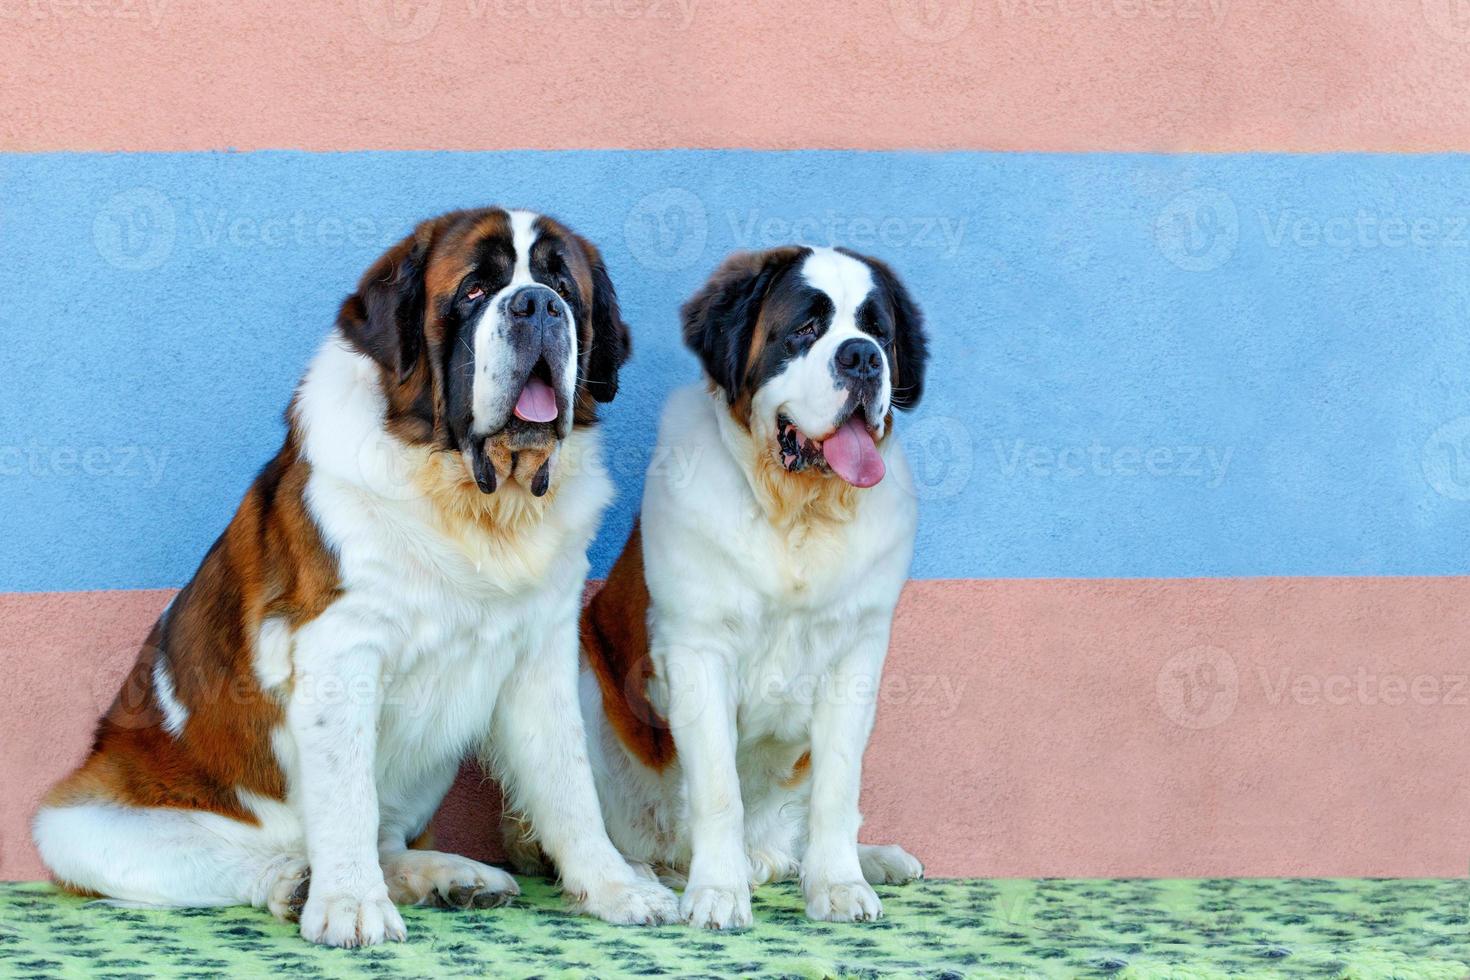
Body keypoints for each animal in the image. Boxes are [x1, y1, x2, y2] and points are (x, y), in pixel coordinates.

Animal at [34, 208, 676, 952]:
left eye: (563, 289)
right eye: (474, 291)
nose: (536, 305)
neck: (469, 502)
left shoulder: (542, 655)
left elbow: (569, 786)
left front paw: (616, 887)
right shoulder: (338, 650)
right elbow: (345, 796)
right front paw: (349, 905)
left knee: (387, 836)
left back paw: (446, 876)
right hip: (77, 824)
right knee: (243, 856)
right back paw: (296, 881)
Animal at [511, 243, 929, 928]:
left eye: (881, 335)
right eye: (805, 329)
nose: (863, 357)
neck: (796, 514)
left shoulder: (857, 656)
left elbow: (839, 786)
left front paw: (840, 883)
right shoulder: (697, 651)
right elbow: (717, 788)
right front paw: (716, 893)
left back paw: (867, 859)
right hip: (582, 676)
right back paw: (649, 876)